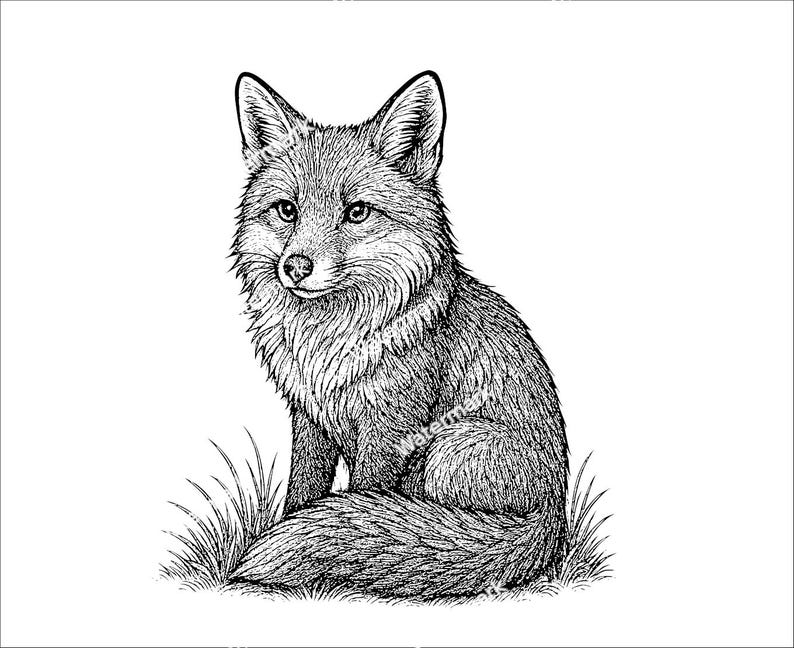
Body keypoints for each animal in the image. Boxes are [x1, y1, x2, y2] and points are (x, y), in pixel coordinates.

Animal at [231, 70, 569, 599]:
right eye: (286, 210)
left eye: (357, 212)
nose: (296, 267)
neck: (329, 343)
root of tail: (555, 513)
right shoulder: (309, 419)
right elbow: (304, 493)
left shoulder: (389, 431)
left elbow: (361, 504)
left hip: (449, 449)